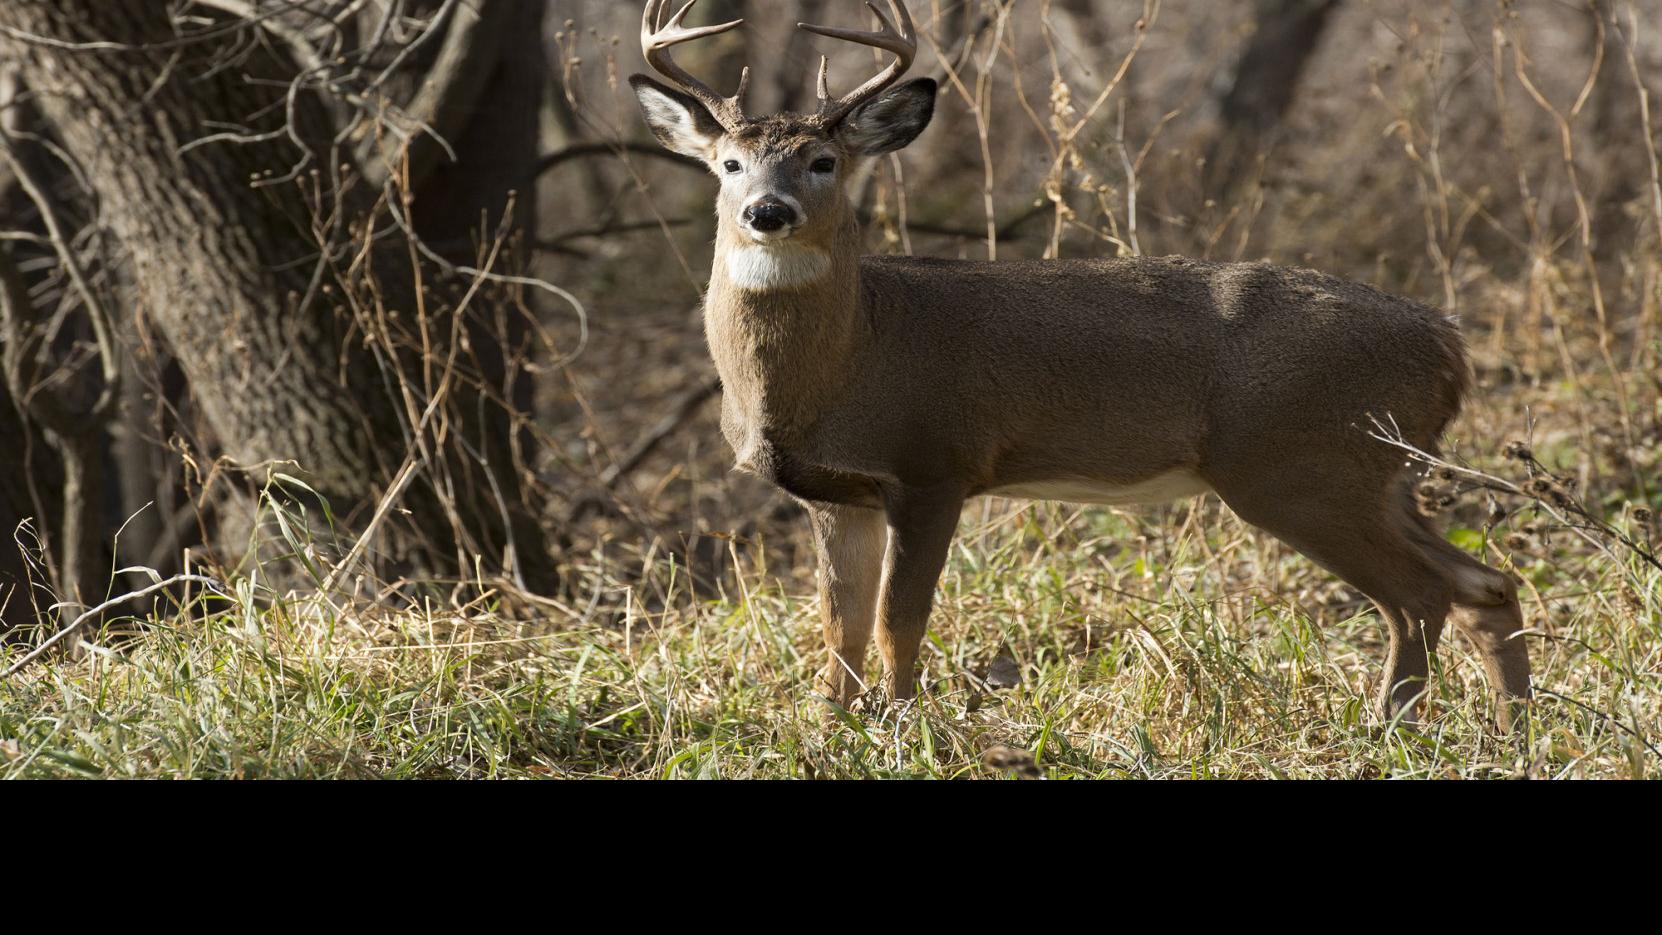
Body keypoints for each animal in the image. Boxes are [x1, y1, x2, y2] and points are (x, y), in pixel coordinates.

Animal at [629, 0, 1532, 729]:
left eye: (823, 162)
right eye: (729, 163)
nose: (766, 211)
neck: (850, 358)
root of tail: (1449, 346)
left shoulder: (935, 464)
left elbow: (897, 622)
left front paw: (903, 726)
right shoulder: (836, 491)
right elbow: (839, 627)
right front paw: (832, 726)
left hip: (1302, 465)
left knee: (1420, 596)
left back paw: (1390, 726)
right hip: (1382, 471)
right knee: (1486, 583)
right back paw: (1509, 728)